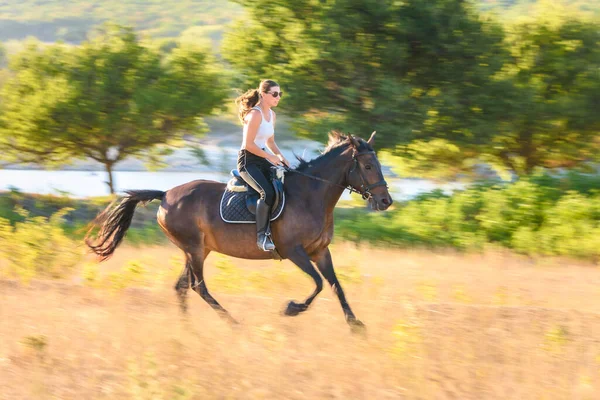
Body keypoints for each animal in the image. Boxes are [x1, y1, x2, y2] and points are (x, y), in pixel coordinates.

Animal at [85, 131, 394, 328]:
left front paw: (355, 324)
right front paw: (291, 309)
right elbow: (318, 284)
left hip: (198, 250)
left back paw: (188, 328)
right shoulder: (294, 251)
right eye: (368, 166)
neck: (311, 195)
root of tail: (165, 194)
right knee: (198, 286)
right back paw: (233, 322)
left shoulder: (320, 251)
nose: (385, 201)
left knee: (182, 286)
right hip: (194, 249)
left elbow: (335, 285)